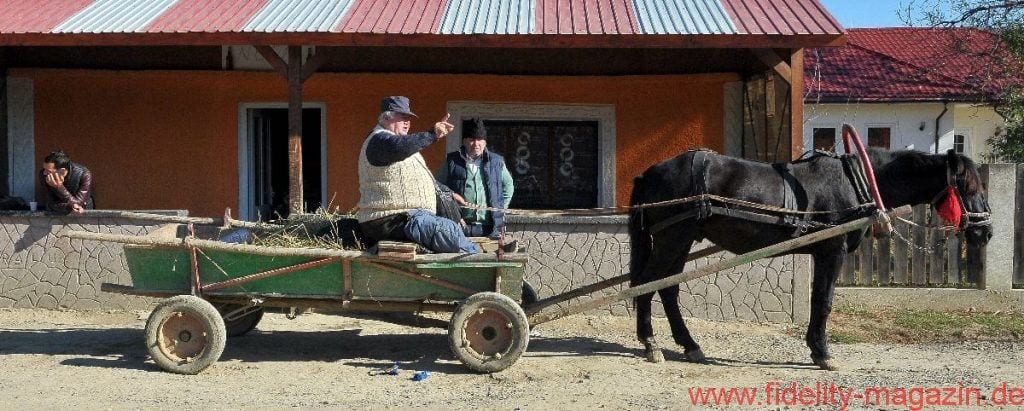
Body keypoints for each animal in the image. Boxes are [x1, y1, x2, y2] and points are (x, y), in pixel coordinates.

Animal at [626, 146, 995, 368]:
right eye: (970, 188)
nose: (986, 233)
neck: (856, 183)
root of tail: (648, 173)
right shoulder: (831, 251)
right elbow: (823, 301)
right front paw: (822, 352)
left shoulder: (823, 252)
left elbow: (821, 300)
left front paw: (816, 348)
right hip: (673, 237)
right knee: (646, 284)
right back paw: (651, 343)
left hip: (680, 239)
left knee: (666, 288)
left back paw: (689, 345)